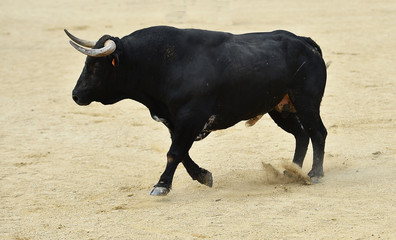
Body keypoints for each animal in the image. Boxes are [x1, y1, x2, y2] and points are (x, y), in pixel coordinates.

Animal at [65, 25, 328, 195]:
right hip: (280, 108)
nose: (76, 95)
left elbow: (175, 152)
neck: (163, 63)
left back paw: (314, 173)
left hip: (306, 102)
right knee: (301, 134)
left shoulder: (190, 117)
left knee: (317, 133)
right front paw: (203, 176)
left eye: (96, 66)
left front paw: (161, 185)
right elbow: (182, 153)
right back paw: (292, 171)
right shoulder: (174, 120)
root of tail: (304, 41)